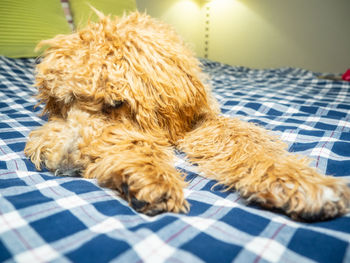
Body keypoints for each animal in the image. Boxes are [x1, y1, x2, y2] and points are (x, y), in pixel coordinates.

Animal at [25, 9, 350, 221]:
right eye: (67, 101)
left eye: (116, 103)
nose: (66, 160)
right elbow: (135, 142)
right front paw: (146, 175)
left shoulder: (199, 120)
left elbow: (246, 144)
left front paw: (299, 183)